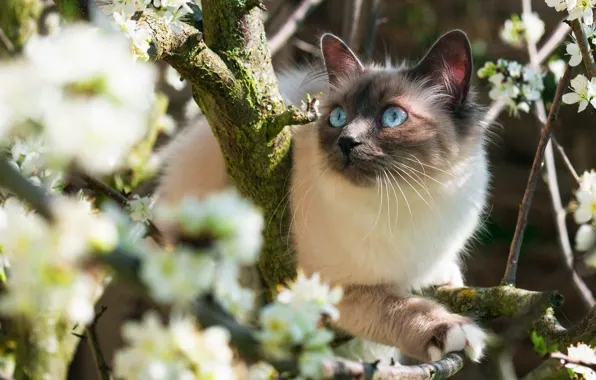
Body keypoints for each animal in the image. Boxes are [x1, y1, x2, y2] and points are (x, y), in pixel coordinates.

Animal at [156, 29, 492, 362]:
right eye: (338, 117)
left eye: (393, 117)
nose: (347, 141)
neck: (405, 200)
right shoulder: (341, 287)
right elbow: (402, 306)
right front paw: (453, 330)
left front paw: (444, 277)